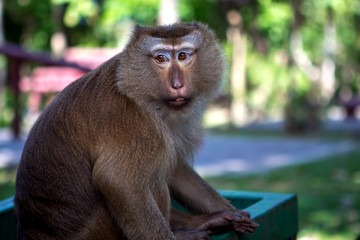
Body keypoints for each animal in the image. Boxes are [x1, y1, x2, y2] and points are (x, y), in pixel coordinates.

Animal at [13, 22, 256, 240]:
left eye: (183, 56)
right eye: (161, 59)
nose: (177, 84)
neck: (145, 96)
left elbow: (176, 169)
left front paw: (229, 213)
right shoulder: (133, 123)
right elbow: (118, 181)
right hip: (100, 230)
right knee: (153, 180)